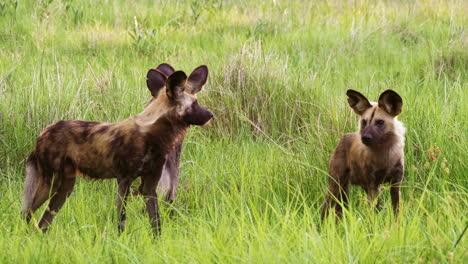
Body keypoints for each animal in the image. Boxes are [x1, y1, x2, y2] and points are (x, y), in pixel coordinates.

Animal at [20, 64, 214, 233]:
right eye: (194, 104)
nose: (211, 115)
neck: (151, 133)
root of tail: (43, 132)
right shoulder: (124, 181)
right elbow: (121, 221)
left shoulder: (149, 187)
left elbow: (156, 223)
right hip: (51, 184)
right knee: (26, 213)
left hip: (65, 187)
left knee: (42, 222)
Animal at [322, 89, 406, 220]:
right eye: (364, 122)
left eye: (379, 122)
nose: (365, 137)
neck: (384, 155)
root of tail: (343, 139)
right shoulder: (373, 186)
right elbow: (373, 217)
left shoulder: (395, 186)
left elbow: (396, 214)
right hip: (335, 186)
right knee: (324, 209)